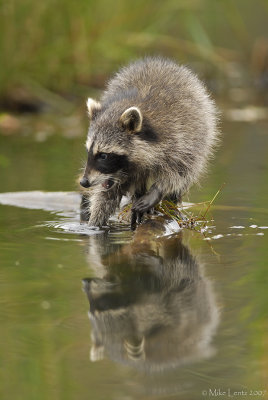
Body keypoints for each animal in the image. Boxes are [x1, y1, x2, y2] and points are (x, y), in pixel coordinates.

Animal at [80, 56, 219, 227]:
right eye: (89, 151)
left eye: (103, 155)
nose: (84, 182)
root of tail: (159, 61)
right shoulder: (112, 176)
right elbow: (106, 195)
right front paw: (95, 222)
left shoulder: (180, 138)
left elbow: (179, 171)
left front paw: (157, 191)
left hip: (201, 132)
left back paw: (170, 203)